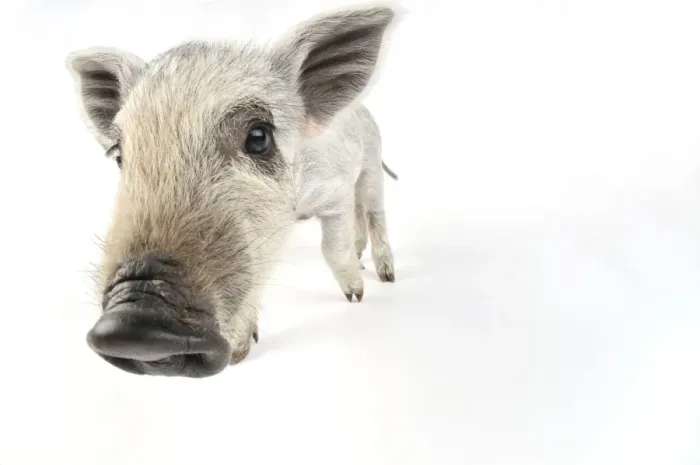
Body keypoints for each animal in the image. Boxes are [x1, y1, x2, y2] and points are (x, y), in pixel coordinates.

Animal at [65, 5, 401, 377]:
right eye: (120, 155)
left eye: (258, 137)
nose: (133, 321)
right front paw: (241, 352)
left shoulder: (335, 192)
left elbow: (332, 248)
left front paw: (355, 296)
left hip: (371, 166)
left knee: (373, 212)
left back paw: (386, 276)